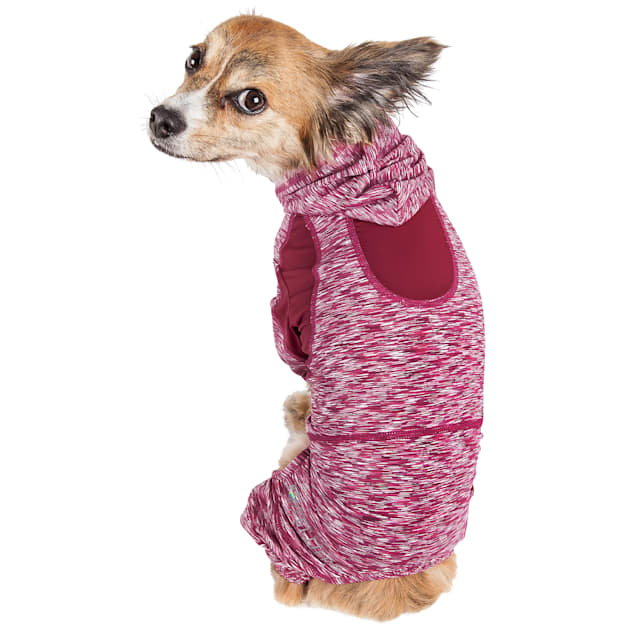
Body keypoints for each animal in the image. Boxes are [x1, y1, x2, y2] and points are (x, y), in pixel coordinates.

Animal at [148, 13, 484, 621]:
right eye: (193, 59)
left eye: (251, 100)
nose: (161, 117)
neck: (351, 161)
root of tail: (398, 588)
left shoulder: (293, 292)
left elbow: (296, 352)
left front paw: (306, 400)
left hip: (271, 492)